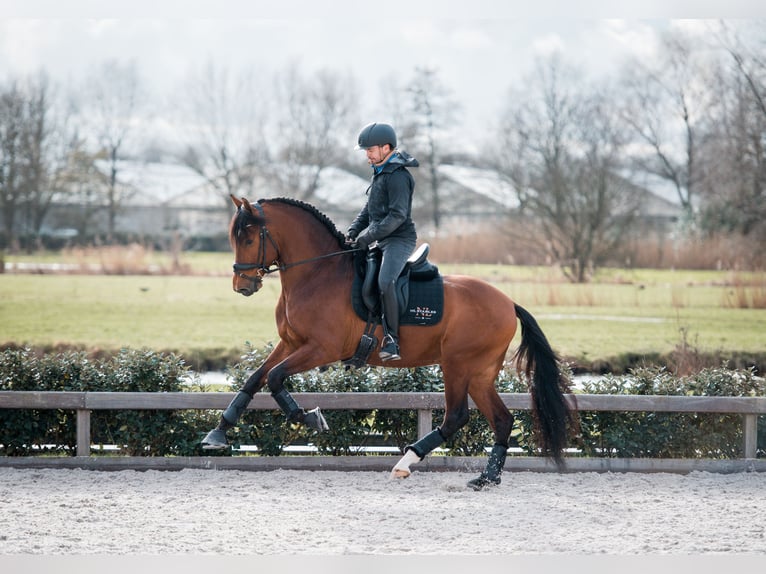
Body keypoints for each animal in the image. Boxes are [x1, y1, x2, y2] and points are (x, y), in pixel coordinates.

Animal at [204, 196, 576, 492]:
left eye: (248, 237)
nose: (242, 285)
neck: (317, 274)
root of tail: (508, 303)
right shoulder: (291, 342)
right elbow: (257, 378)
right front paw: (218, 433)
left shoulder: (322, 349)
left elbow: (276, 378)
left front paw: (310, 418)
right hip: (480, 373)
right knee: (501, 420)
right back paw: (486, 478)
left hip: (458, 365)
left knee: (456, 417)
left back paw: (406, 463)